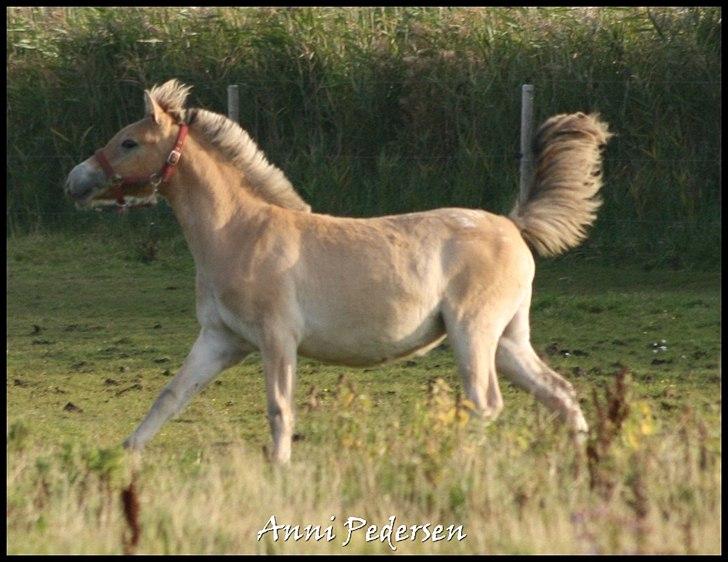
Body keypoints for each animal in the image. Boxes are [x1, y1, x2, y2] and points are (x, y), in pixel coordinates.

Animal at [62, 80, 612, 464]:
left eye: (129, 143)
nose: (74, 182)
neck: (240, 233)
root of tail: (513, 225)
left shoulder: (277, 339)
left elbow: (279, 410)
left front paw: (280, 467)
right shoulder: (220, 341)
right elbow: (170, 397)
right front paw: (124, 454)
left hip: (473, 333)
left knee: (486, 403)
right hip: (508, 339)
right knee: (559, 393)